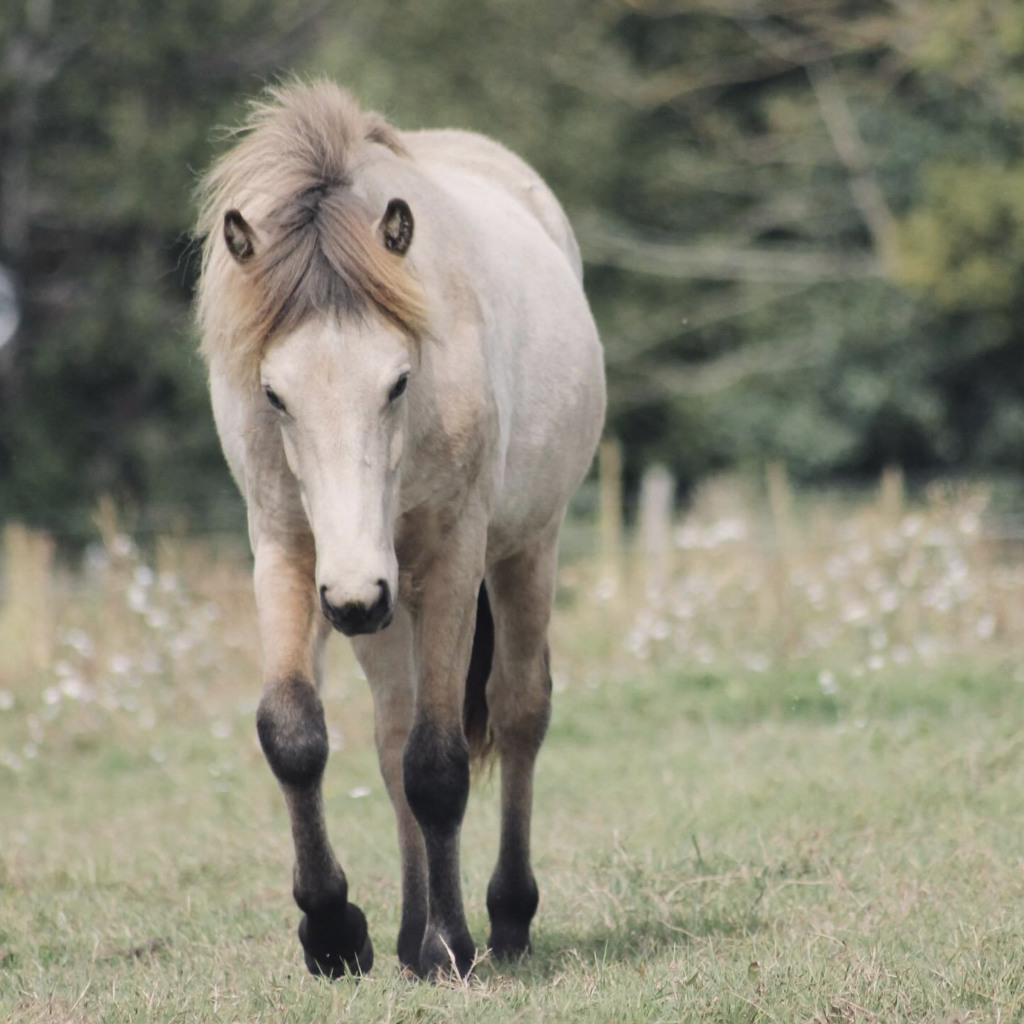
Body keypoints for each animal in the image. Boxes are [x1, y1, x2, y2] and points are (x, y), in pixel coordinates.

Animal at [195, 83, 602, 978]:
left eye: (398, 382)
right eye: (273, 394)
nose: (355, 597)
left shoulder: (452, 556)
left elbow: (439, 762)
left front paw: (451, 944)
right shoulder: (287, 550)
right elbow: (295, 733)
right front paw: (333, 931)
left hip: (522, 551)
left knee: (517, 711)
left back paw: (502, 919)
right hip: (385, 600)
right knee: (390, 734)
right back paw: (411, 932)